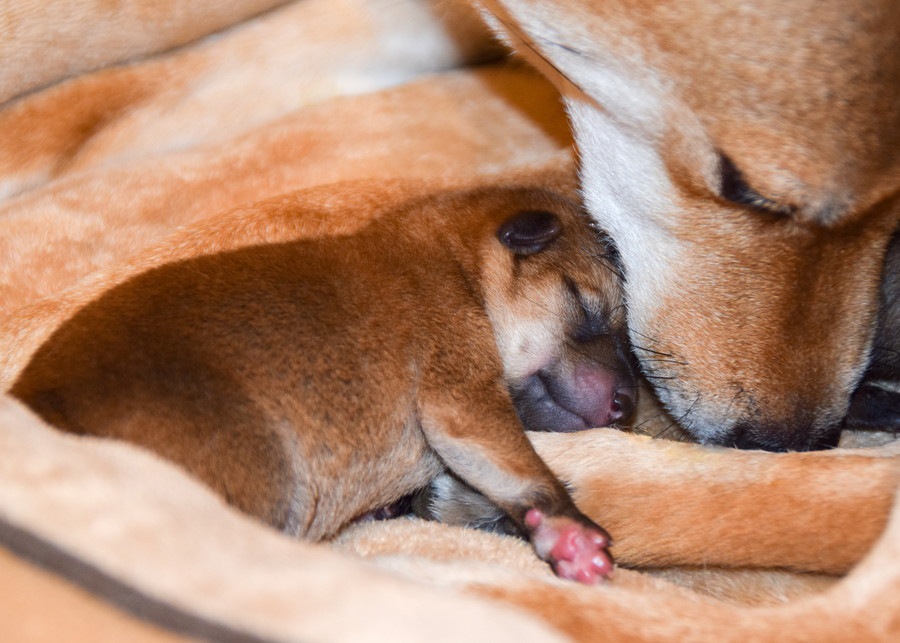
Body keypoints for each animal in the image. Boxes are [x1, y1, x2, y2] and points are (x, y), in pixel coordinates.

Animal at [10, 185, 636, 584]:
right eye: (589, 310)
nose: (627, 403)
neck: (454, 262)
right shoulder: (460, 391)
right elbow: (518, 464)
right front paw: (570, 531)